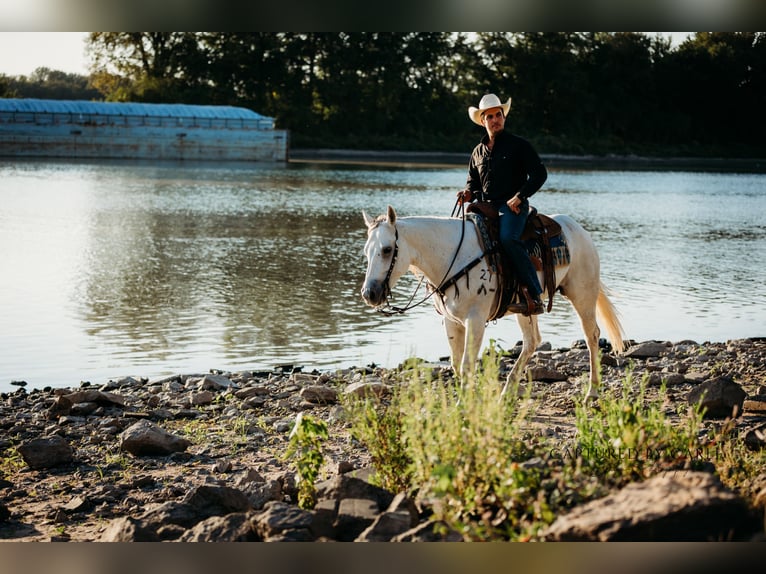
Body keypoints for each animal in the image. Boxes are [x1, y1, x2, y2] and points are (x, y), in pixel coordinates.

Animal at [361, 205, 625, 399]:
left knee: (591, 336)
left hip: (582, 294)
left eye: (387, 249)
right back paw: (507, 391)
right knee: (531, 342)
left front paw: (464, 406)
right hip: (527, 308)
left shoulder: (476, 320)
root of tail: (577, 229)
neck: (453, 257)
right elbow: (456, 365)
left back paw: (592, 391)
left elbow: (467, 365)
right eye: (366, 251)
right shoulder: (451, 321)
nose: (369, 293)